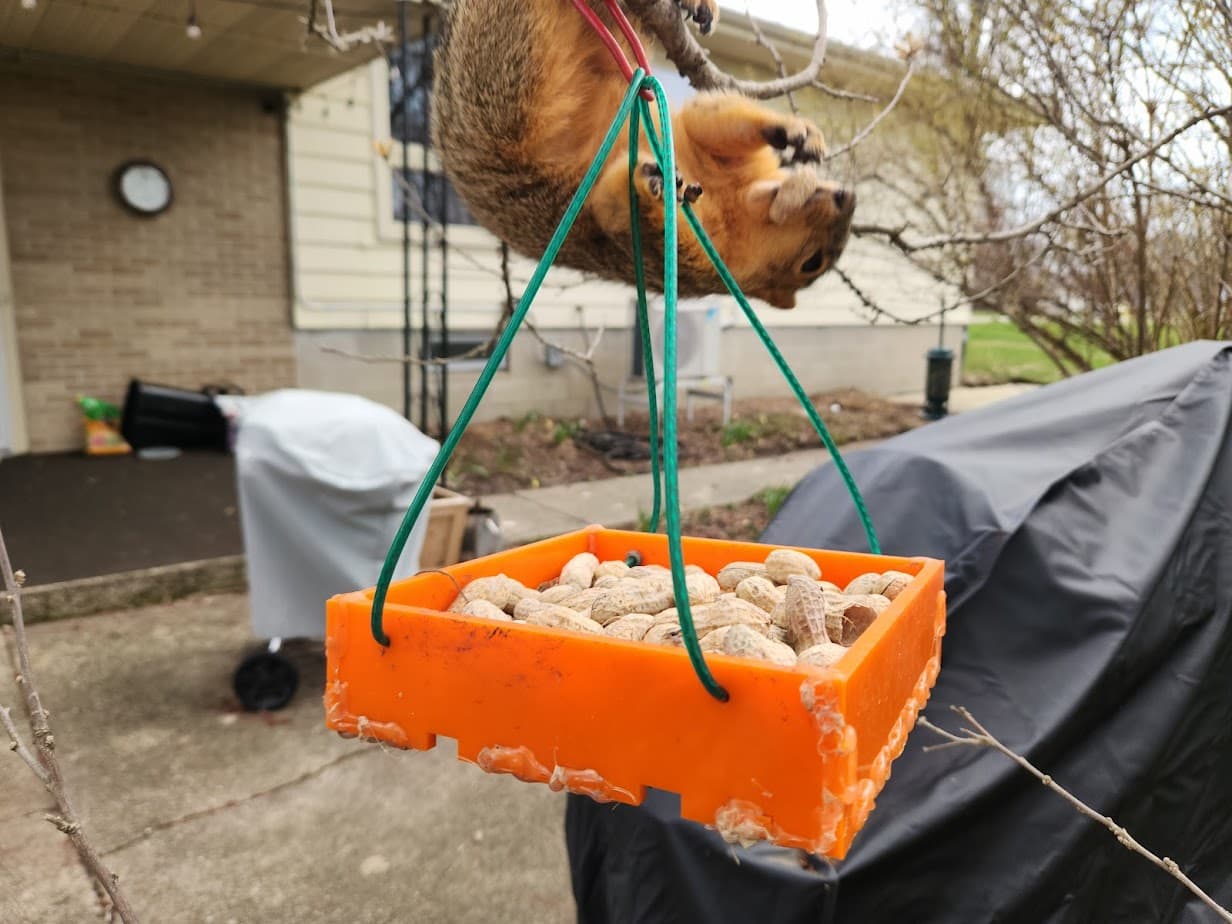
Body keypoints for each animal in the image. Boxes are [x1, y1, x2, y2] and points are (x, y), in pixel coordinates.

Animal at [433, 0, 857, 311]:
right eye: (814, 263)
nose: (847, 196)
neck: (738, 196)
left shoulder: (697, 260)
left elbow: (619, 212)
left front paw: (651, 185)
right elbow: (714, 121)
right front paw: (793, 131)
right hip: (507, 71)